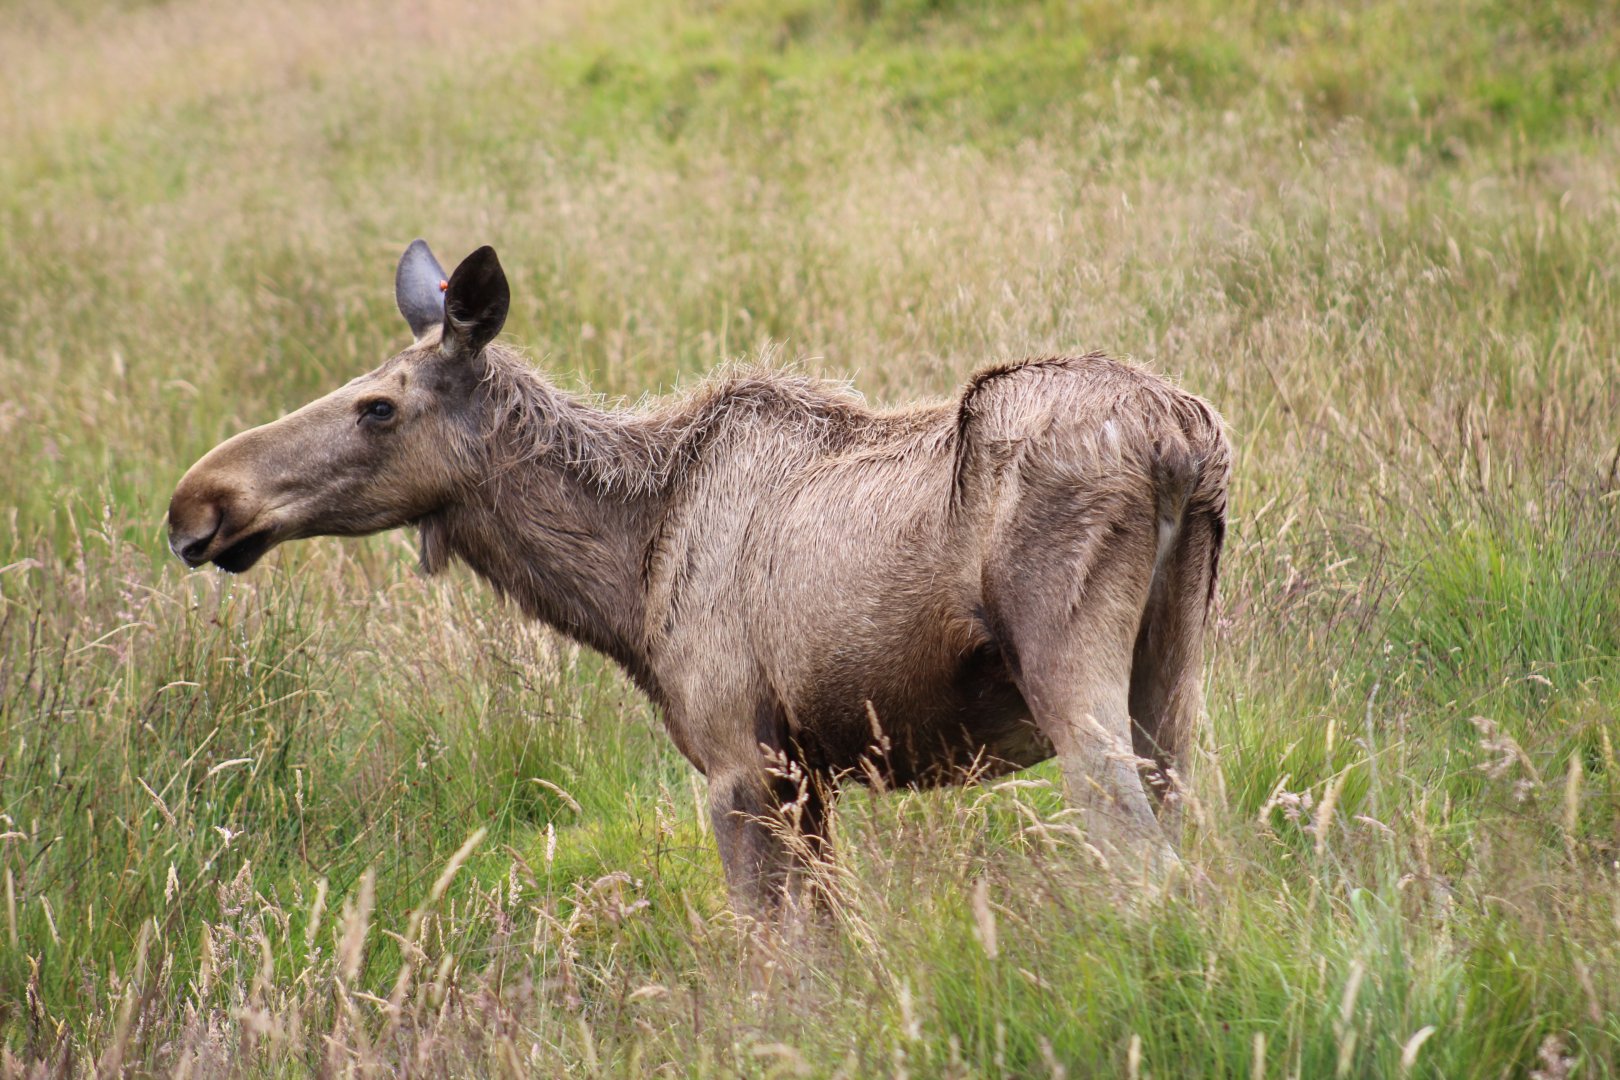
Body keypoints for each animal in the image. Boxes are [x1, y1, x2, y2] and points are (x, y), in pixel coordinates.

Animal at [167, 240, 1230, 915]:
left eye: (378, 407)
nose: (196, 504)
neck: (624, 587)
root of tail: (1182, 439)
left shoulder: (738, 761)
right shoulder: (805, 775)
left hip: (1070, 670)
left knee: (1145, 868)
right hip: (1172, 675)